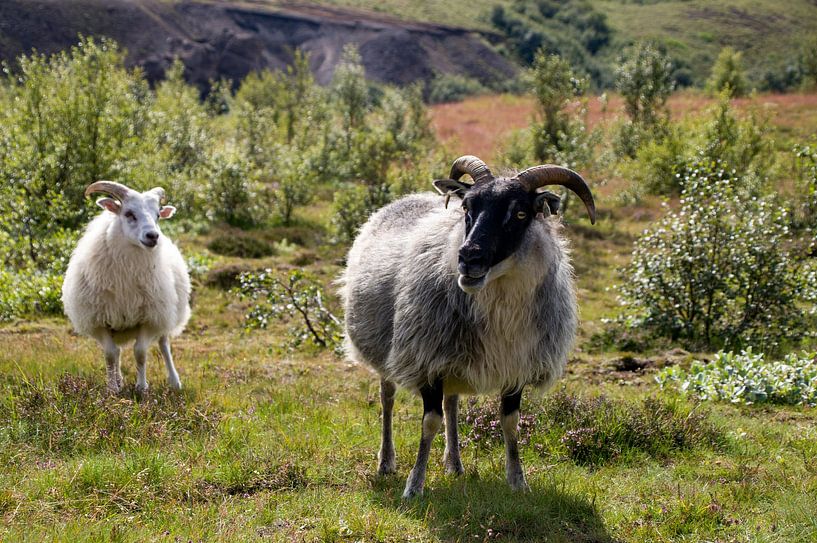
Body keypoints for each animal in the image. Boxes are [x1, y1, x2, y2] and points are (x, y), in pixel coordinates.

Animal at [62, 181, 191, 395]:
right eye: (129, 213)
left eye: (158, 215)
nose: (153, 236)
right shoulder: (99, 320)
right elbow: (110, 354)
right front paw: (112, 388)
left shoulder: (148, 318)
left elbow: (140, 353)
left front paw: (141, 387)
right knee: (118, 351)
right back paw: (119, 380)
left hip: (165, 312)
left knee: (164, 344)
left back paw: (174, 382)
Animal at [340, 155, 596, 498]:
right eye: (466, 208)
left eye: (520, 213)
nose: (468, 258)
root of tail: (405, 198)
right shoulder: (426, 359)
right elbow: (429, 423)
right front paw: (414, 486)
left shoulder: (517, 366)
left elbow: (510, 422)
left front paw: (518, 481)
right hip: (388, 350)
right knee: (388, 398)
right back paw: (386, 462)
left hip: (454, 358)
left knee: (452, 404)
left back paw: (455, 463)